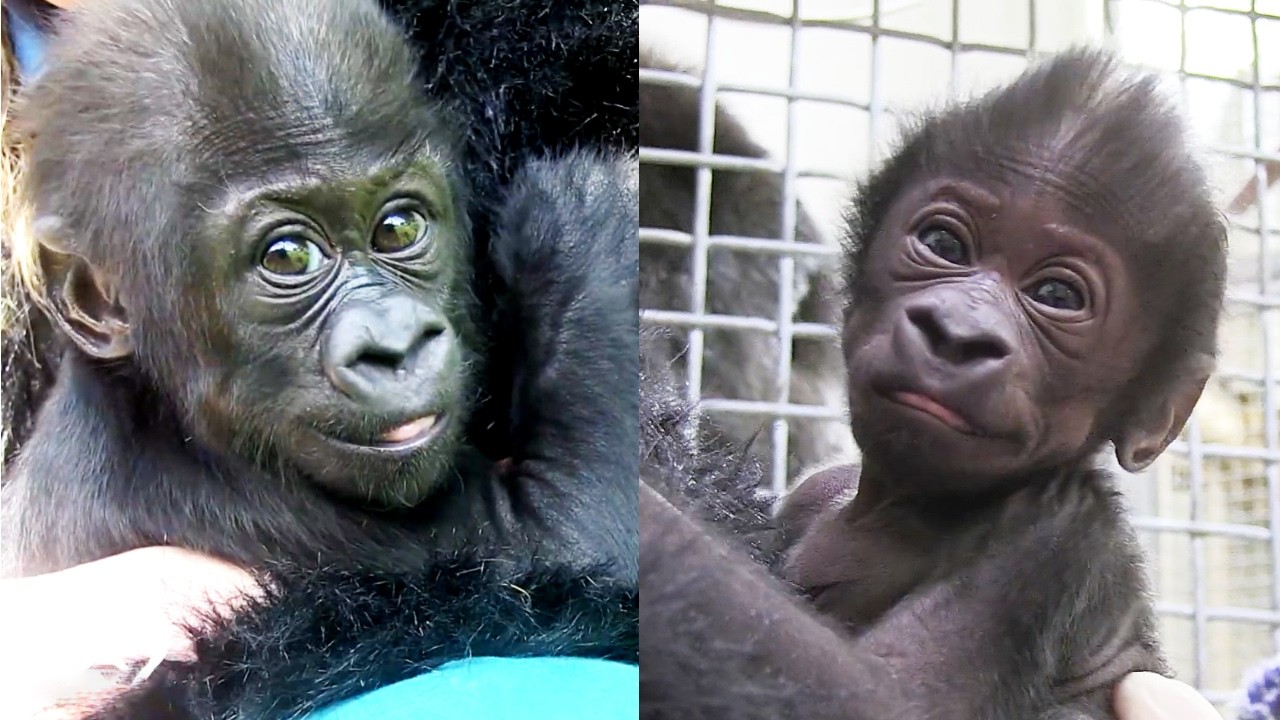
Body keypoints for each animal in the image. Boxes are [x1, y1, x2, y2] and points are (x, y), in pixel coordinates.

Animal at [639, 47, 1227, 720]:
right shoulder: (818, 490)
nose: (956, 333)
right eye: (944, 243)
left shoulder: (1064, 535)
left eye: (1057, 296)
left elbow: (890, 697)